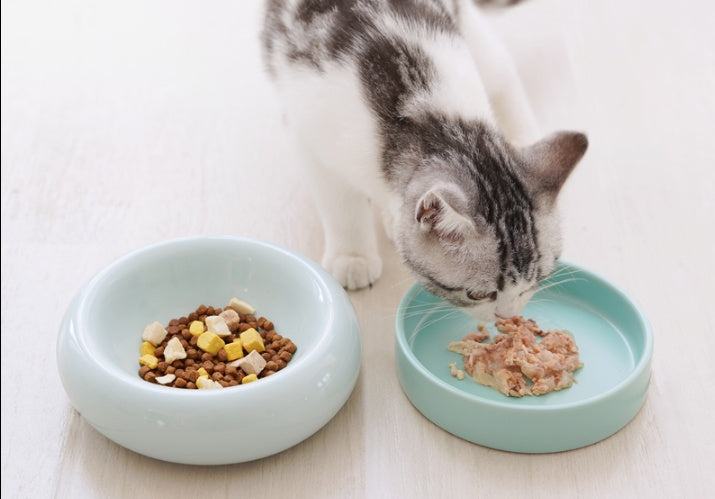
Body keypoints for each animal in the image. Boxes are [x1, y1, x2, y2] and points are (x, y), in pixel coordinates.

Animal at [262, 0, 588, 320]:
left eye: (536, 281)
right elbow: (341, 205)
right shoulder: (310, 137)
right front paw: (353, 256)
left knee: (501, 72)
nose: (506, 317)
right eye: (479, 294)